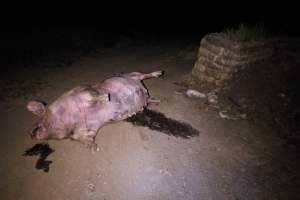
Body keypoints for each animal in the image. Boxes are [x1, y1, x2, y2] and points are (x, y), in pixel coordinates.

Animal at [26, 70, 163, 150]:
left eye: (38, 122)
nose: (30, 133)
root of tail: (143, 89)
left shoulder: (82, 90)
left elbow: (92, 95)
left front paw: (106, 97)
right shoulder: (85, 130)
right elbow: (81, 138)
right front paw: (93, 147)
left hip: (132, 74)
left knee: (143, 74)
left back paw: (159, 73)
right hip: (144, 95)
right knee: (148, 99)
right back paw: (155, 102)